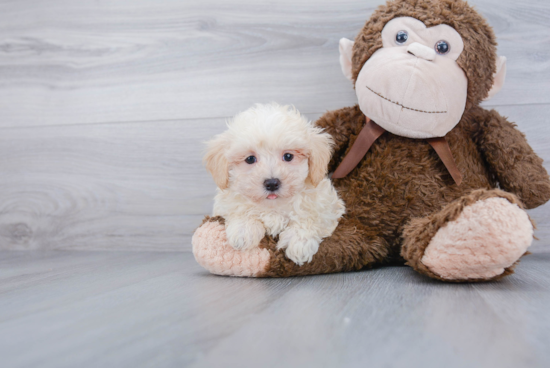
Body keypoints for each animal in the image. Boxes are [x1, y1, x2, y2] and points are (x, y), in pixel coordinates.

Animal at [205, 103, 348, 264]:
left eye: (288, 156)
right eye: (250, 159)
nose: (272, 183)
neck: (273, 207)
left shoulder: (328, 207)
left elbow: (311, 217)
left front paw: (299, 242)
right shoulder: (225, 204)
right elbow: (239, 209)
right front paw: (243, 231)